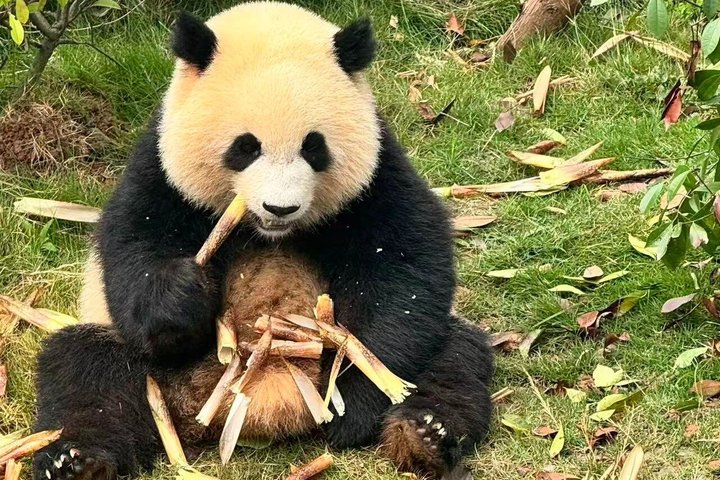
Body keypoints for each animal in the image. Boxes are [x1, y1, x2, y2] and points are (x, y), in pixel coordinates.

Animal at [31, 3, 494, 479]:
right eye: (246, 147)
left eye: (314, 147)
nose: (280, 208)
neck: (266, 234)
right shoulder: (160, 168)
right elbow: (131, 247)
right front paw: (180, 292)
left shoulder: (377, 173)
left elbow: (404, 266)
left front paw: (354, 405)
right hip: (127, 358)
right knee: (86, 374)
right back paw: (76, 459)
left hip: (434, 347)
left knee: (456, 358)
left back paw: (424, 433)